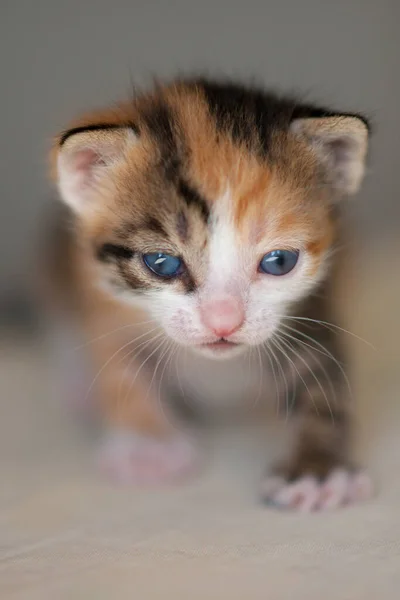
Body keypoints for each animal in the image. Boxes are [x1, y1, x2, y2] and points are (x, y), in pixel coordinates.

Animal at [47, 77, 372, 510]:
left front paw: (317, 469)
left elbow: (321, 377)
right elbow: (118, 362)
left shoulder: (313, 305)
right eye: (162, 263)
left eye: (279, 261)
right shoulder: (98, 292)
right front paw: (149, 445)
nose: (223, 321)